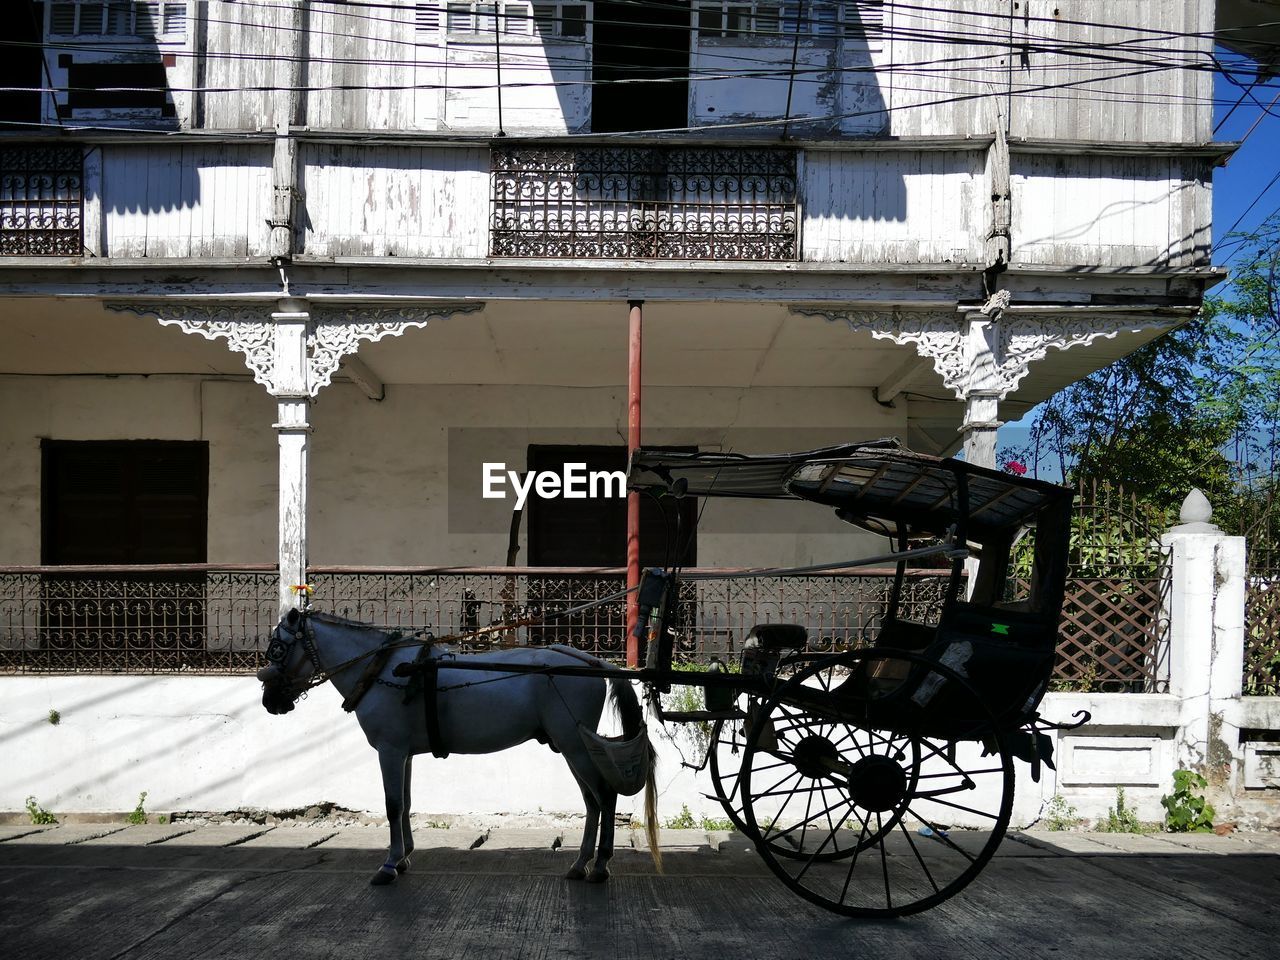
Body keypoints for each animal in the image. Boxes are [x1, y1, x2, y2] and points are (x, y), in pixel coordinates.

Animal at [257, 609, 660, 885]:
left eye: (277, 647)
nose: (269, 702)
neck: (383, 669)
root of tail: (589, 660)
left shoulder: (389, 750)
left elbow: (392, 806)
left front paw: (388, 865)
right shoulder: (402, 753)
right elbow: (405, 803)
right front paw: (404, 858)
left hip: (575, 745)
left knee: (605, 796)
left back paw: (601, 866)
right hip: (572, 747)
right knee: (592, 801)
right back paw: (580, 864)